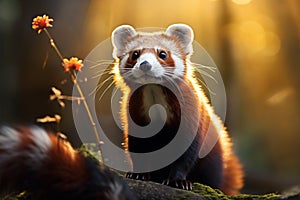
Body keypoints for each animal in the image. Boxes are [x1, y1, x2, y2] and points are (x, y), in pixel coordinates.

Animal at [112, 23, 244, 194]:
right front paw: (138, 174)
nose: (145, 64)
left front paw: (178, 181)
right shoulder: (135, 119)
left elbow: (185, 157)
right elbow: (137, 149)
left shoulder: (192, 121)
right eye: (135, 54)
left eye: (162, 53)